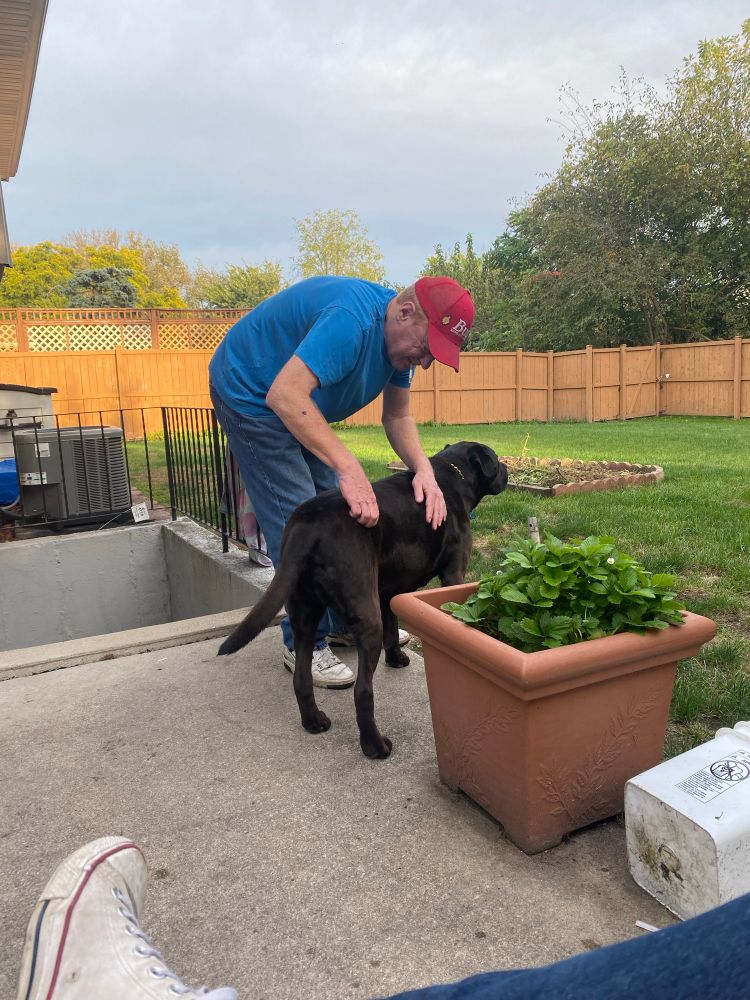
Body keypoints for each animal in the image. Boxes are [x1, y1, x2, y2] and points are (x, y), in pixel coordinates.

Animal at [218, 442, 508, 759]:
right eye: (496, 460)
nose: (507, 469)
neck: (454, 475)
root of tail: (307, 528)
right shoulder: (454, 572)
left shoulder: (387, 591)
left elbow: (392, 630)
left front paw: (396, 659)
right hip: (366, 616)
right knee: (362, 691)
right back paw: (375, 746)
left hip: (304, 610)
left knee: (302, 676)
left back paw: (314, 721)